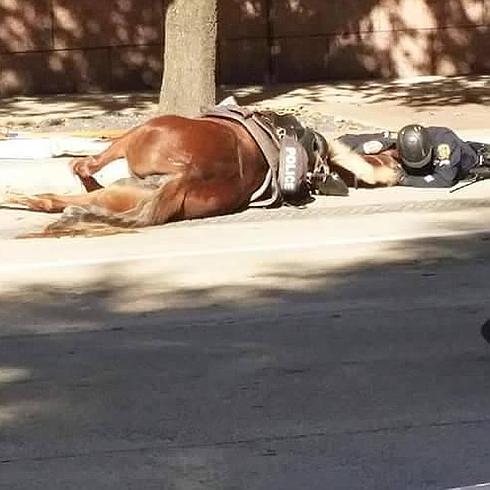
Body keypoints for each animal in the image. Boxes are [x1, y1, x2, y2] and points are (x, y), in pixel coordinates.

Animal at [2, 107, 402, 237]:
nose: (398, 170)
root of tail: (187, 174)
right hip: (122, 190)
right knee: (56, 199)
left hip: (136, 137)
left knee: (79, 171)